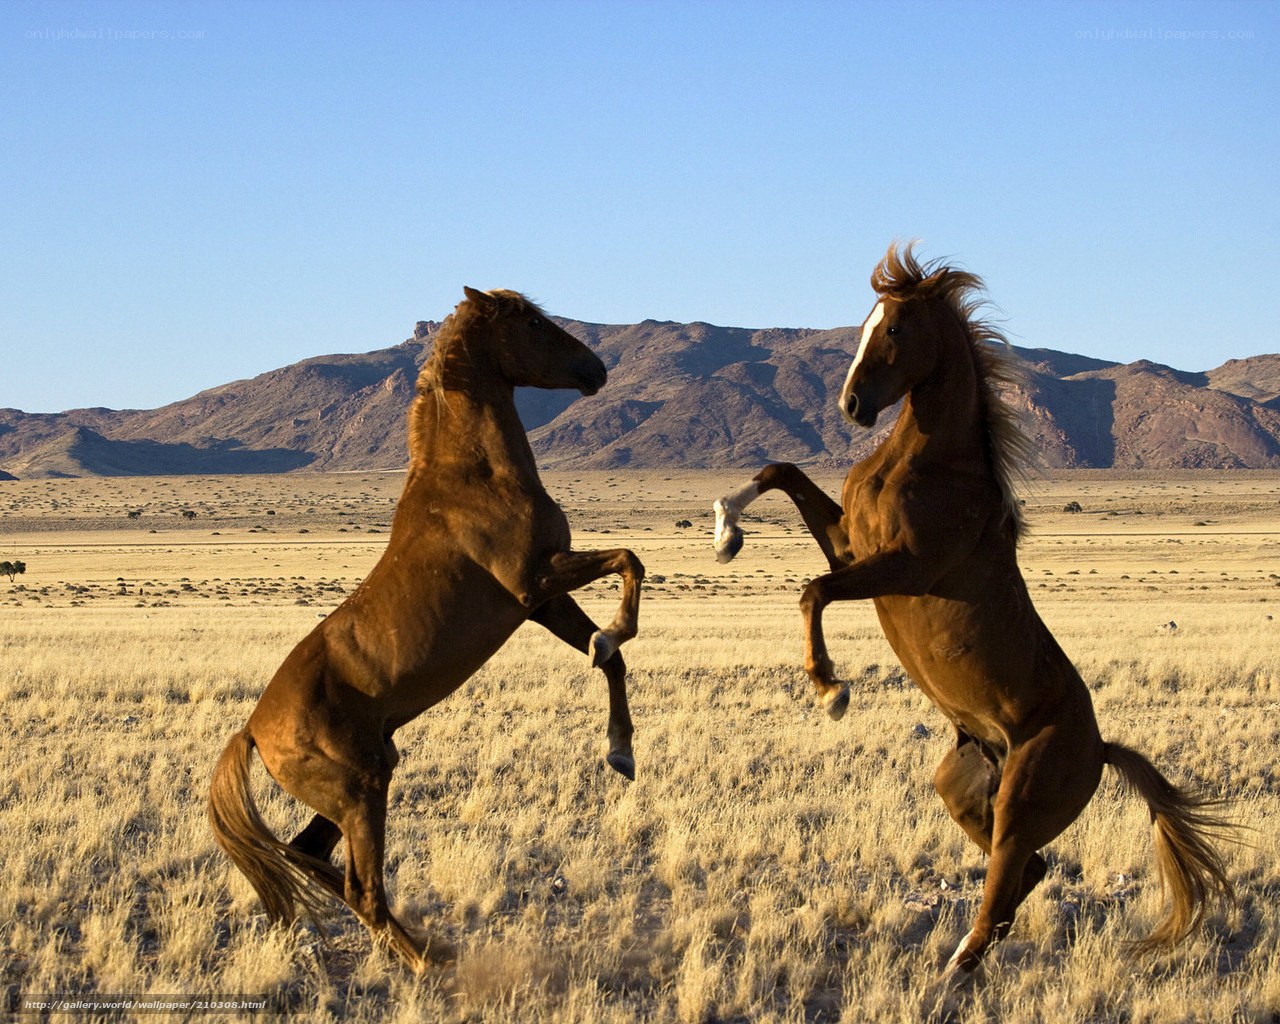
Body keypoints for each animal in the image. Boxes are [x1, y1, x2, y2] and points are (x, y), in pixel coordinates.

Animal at [209, 287, 645, 973]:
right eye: (531, 322)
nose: (595, 369)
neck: (475, 476)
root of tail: (253, 730)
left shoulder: (540, 603)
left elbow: (609, 658)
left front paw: (620, 751)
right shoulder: (534, 581)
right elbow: (630, 562)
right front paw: (619, 634)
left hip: (363, 779)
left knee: (314, 858)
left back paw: (425, 947)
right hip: (361, 789)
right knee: (361, 889)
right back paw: (429, 966)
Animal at [712, 244, 1234, 980]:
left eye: (895, 328)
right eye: (866, 323)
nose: (852, 405)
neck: (927, 462)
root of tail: (1101, 749)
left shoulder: (903, 567)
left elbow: (813, 591)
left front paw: (830, 689)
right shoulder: (852, 545)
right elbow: (781, 473)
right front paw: (725, 529)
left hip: (1020, 797)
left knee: (1010, 876)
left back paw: (955, 967)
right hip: (960, 785)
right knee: (1029, 870)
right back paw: (964, 960)